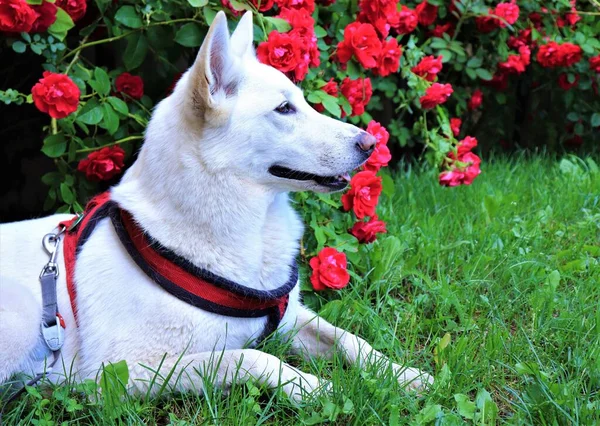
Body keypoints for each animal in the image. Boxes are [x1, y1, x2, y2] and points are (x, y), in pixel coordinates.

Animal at [0, 11, 432, 402]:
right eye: (284, 109)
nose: (371, 143)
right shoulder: (125, 370)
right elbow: (251, 357)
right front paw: (314, 388)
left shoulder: (291, 317)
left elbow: (349, 340)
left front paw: (402, 375)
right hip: (22, 316)